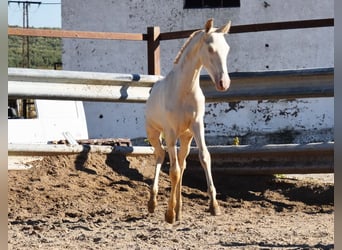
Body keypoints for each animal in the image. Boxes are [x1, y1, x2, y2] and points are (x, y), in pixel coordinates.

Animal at [146, 18, 231, 224]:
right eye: (210, 49)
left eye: (227, 49)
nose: (224, 83)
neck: (184, 90)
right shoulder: (170, 132)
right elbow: (174, 171)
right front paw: (168, 214)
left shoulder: (197, 126)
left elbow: (204, 157)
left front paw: (214, 206)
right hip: (154, 134)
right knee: (160, 156)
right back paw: (153, 203)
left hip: (185, 137)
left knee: (182, 162)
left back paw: (179, 210)